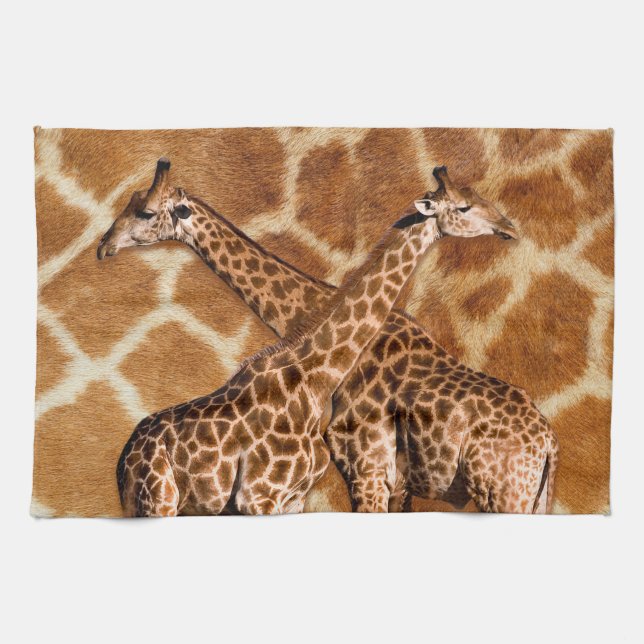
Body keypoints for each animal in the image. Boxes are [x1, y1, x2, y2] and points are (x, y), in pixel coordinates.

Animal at [99, 159, 557, 514]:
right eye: (465, 205)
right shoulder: (373, 477)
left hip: (509, 493)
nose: (104, 245)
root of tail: (550, 443)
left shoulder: (367, 470)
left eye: (145, 213)